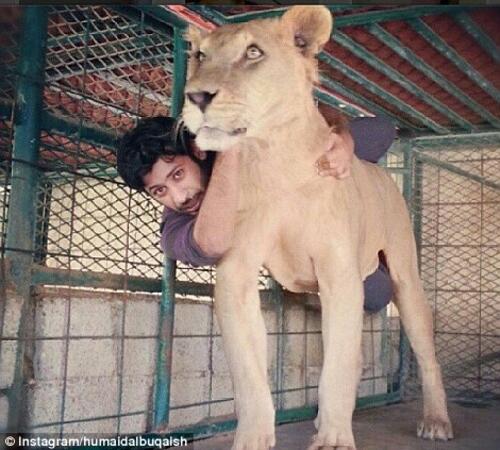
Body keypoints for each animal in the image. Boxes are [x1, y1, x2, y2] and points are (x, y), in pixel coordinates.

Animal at [181, 4, 454, 450]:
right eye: (200, 56)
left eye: (253, 53)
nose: (197, 96)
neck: (273, 155)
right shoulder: (236, 274)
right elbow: (249, 373)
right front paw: (254, 437)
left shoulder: (339, 272)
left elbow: (338, 366)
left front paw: (334, 439)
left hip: (404, 277)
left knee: (425, 353)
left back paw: (436, 420)